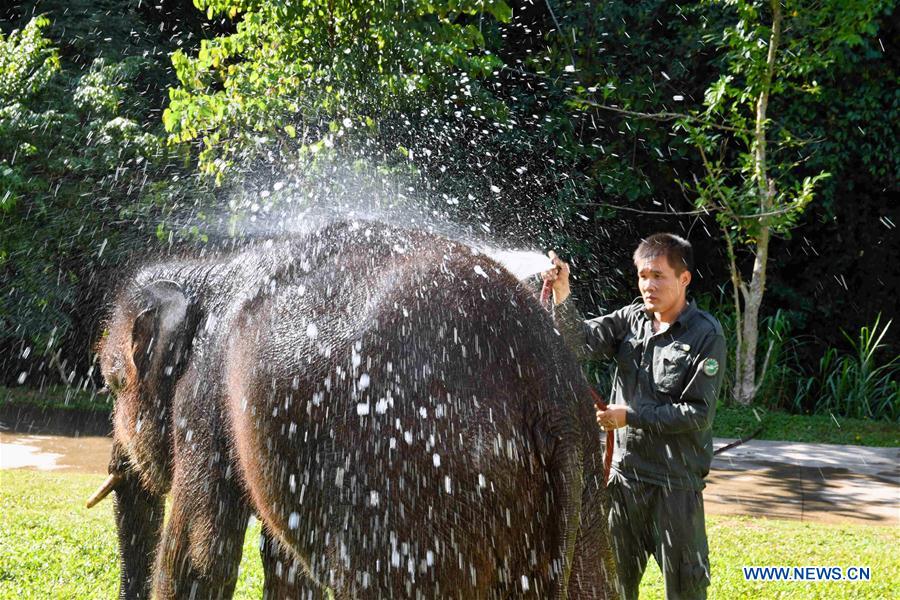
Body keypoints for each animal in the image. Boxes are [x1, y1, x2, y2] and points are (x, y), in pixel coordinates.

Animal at [94, 220, 618, 599]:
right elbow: (283, 563)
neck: (208, 270)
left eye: (112, 382)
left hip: (417, 489)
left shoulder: (205, 396)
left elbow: (200, 556)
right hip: (581, 491)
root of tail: (546, 385)